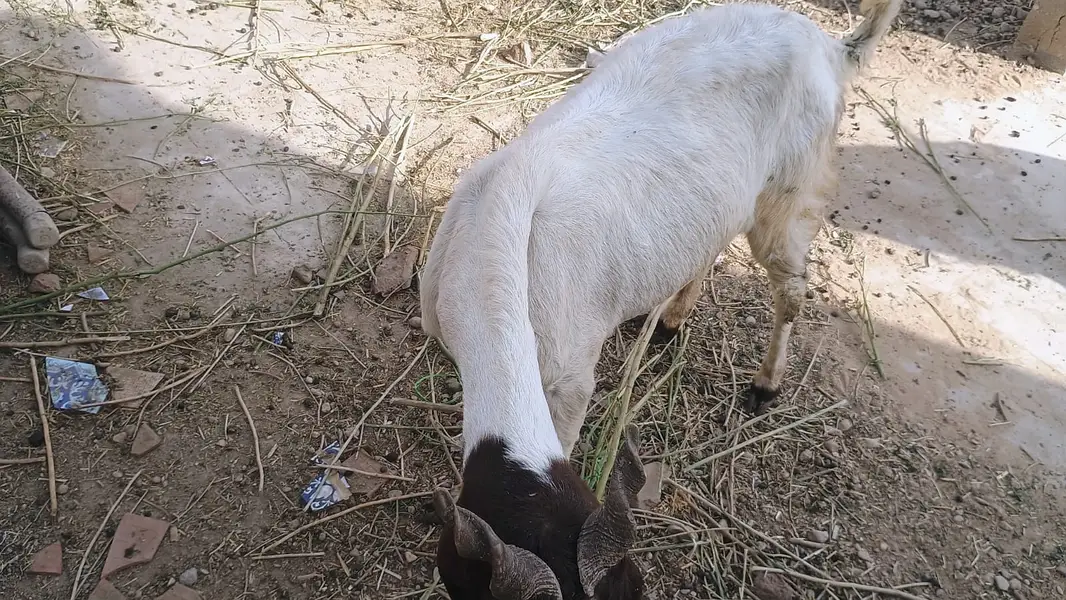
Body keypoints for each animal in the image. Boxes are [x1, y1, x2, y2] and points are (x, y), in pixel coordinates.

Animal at [419, 1, 903, 598]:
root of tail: (831, 46)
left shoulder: (566, 377)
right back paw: (671, 320)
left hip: (789, 191)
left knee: (790, 285)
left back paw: (765, 385)